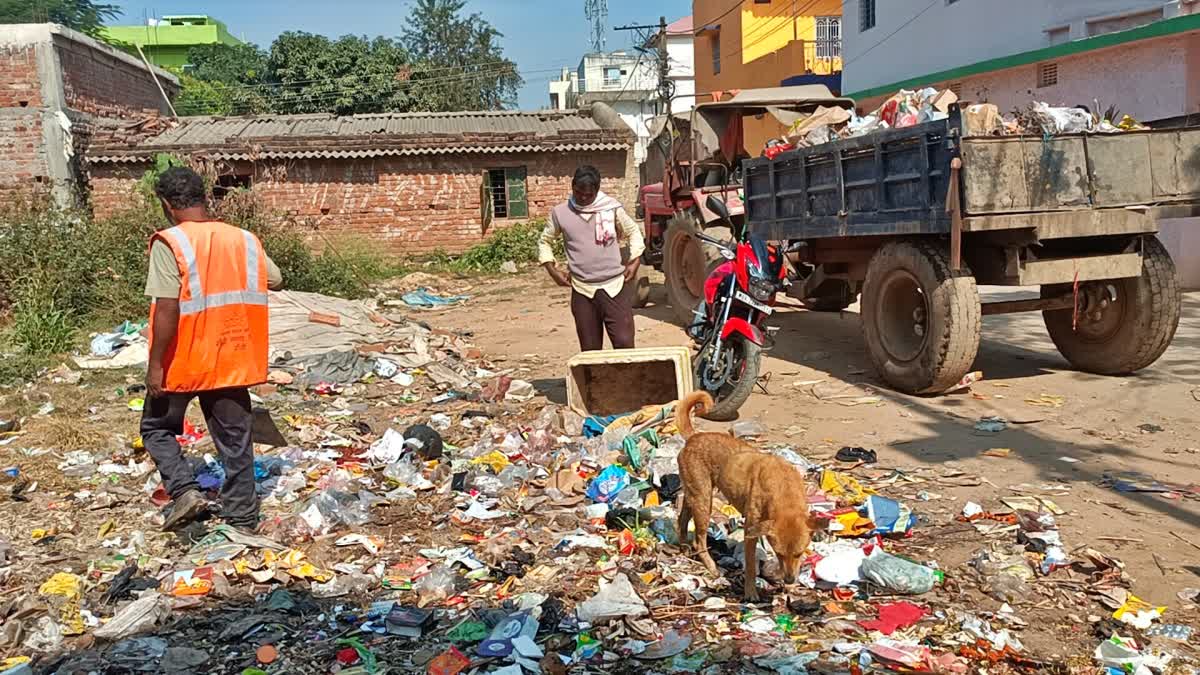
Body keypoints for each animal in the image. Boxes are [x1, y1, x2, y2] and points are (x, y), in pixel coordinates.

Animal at [676, 389, 816, 598]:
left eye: (799, 554)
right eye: (779, 554)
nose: (790, 580)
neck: (784, 490)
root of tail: (694, 437)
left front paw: (789, 587)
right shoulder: (751, 531)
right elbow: (750, 566)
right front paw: (750, 592)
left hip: (695, 494)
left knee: (682, 520)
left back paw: (684, 546)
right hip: (704, 502)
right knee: (699, 542)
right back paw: (711, 567)